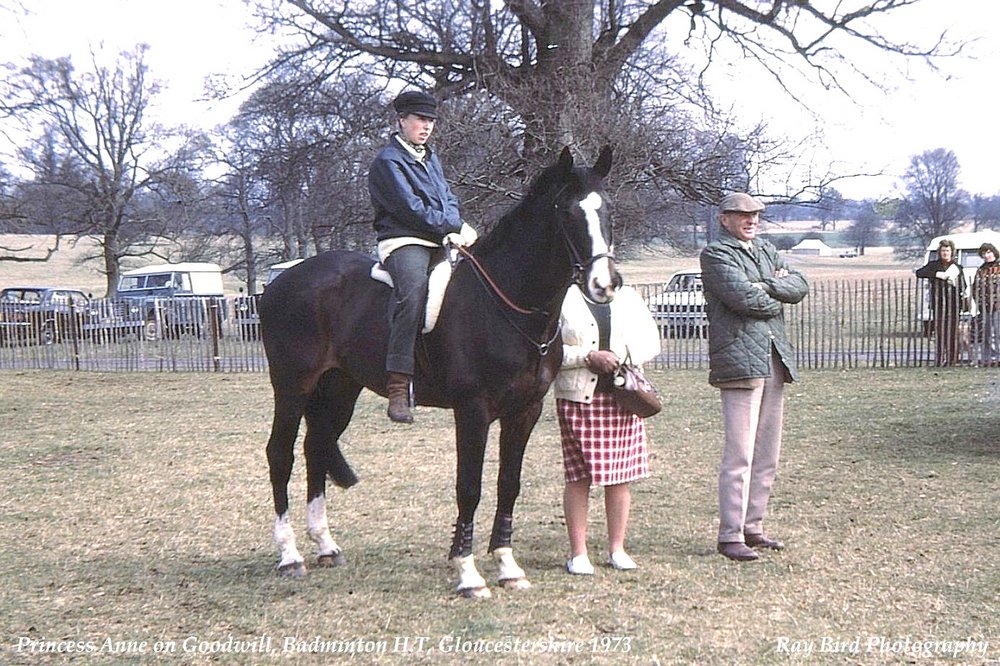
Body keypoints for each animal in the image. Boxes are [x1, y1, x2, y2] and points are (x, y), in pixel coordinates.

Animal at [258, 147, 616, 596]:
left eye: (609, 209)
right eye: (568, 212)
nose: (606, 284)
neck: (507, 301)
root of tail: (280, 282)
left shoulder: (525, 411)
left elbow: (508, 484)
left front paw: (507, 565)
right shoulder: (473, 411)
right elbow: (469, 487)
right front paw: (468, 573)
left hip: (339, 389)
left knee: (316, 448)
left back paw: (325, 545)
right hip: (293, 387)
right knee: (280, 454)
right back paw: (289, 555)